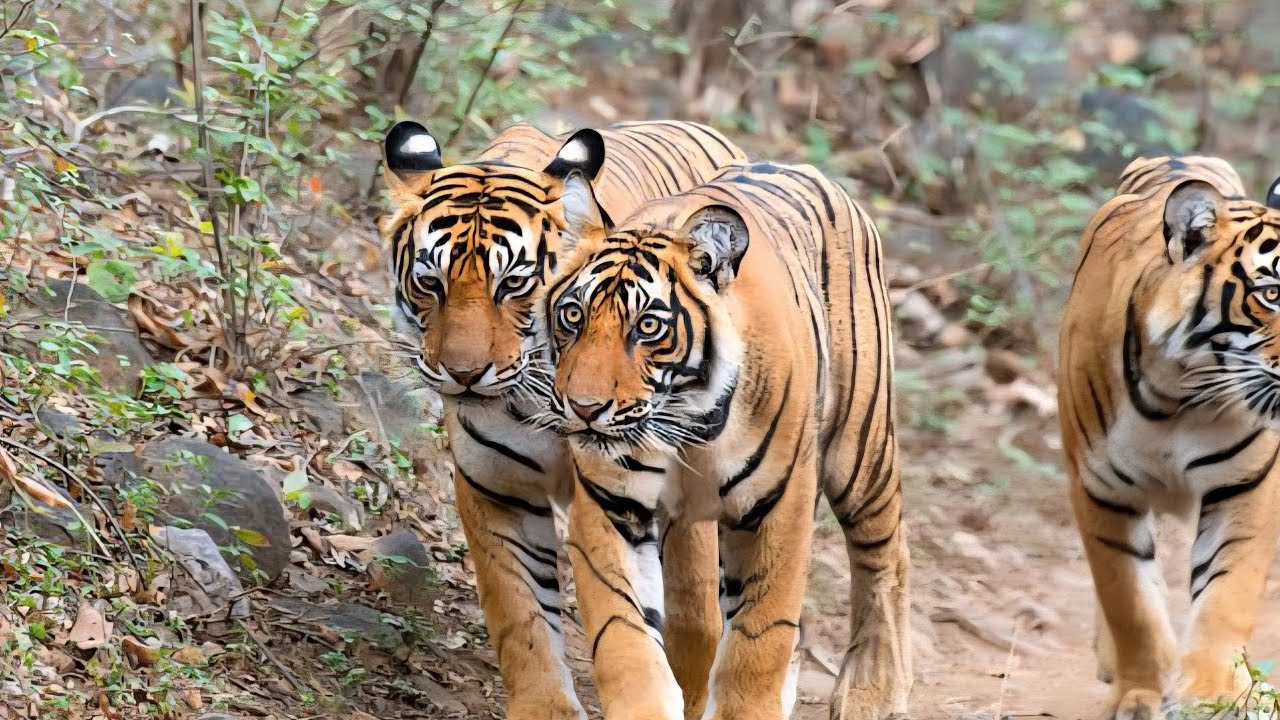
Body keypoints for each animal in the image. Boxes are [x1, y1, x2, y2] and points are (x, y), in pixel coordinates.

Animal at [379, 119, 746, 720]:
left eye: (513, 284)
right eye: (431, 283)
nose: (463, 374)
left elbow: (655, 618)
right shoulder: (497, 488)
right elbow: (519, 613)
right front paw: (544, 706)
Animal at [541, 161, 911, 720]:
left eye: (648, 327)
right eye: (573, 316)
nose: (584, 409)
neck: (686, 421)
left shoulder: (778, 508)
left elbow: (760, 637)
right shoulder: (613, 507)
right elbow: (624, 633)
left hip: (860, 448)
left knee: (884, 553)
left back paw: (874, 690)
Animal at [1058, 155, 1280, 719]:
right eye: (1271, 294)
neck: (1183, 394)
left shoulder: (1246, 484)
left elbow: (1227, 592)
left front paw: (1211, 693)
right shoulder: (1100, 488)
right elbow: (1129, 601)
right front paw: (1138, 693)